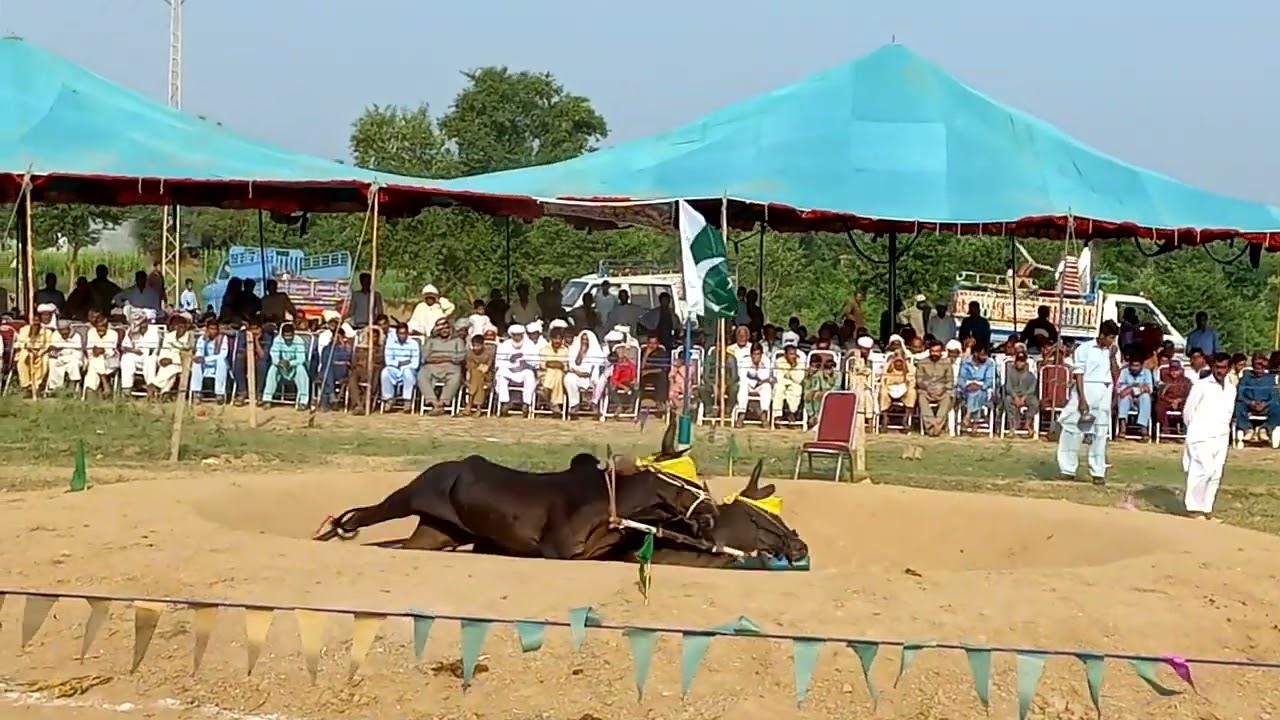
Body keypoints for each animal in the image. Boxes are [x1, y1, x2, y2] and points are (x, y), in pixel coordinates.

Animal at [312, 422, 718, 560]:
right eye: (683, 478)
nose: (711, 512)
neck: (608, 500)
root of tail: (456, 467)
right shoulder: (556, 550)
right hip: (410, 496)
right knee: (366, 515)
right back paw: (331, 531)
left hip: (438, 532)